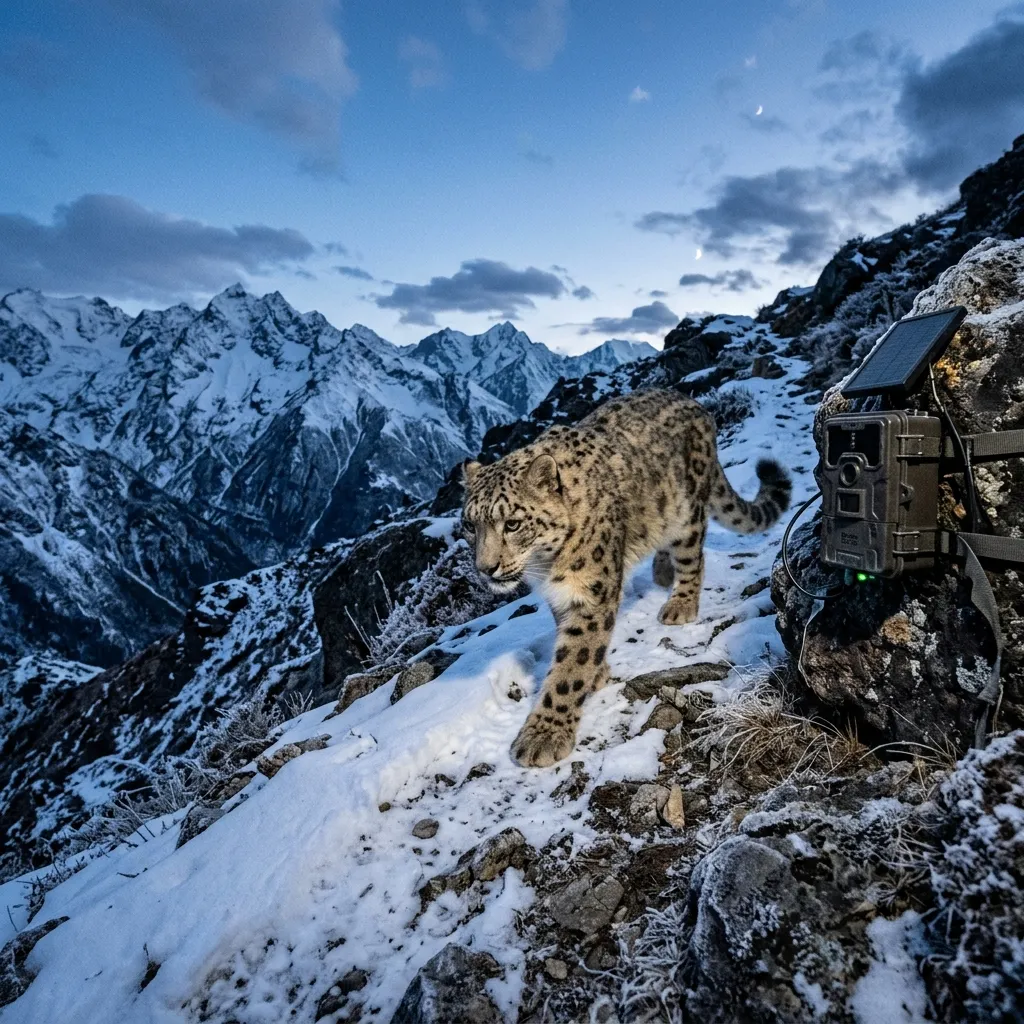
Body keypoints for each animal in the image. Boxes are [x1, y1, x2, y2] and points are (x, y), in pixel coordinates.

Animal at [461, 387, 792, 768]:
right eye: (469, 525)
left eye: (512, 523)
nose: (485, 568)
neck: (546, 567)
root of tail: (696, 404)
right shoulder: (562, 595)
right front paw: (597, 673)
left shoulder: (592, 592)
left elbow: (570, 668)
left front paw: (542, 736)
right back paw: (662, 570)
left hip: (686, 514)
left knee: (693, 557)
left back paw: (680, 604)